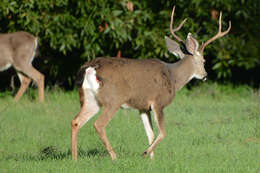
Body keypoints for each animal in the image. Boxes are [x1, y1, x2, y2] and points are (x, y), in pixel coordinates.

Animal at [71, 6, 232, 161]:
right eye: (203, 61)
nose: (205, 75)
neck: (173, 77)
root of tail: (90, 67)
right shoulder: (158, 102)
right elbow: (162, 133)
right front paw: (145, 153)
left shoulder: (143, 107)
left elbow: (150, 133)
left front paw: (151, 159)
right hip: (113, 100)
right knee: (99, 124)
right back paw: (114, 157)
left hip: (90, 99)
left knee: (75, 121)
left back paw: (75, 158)